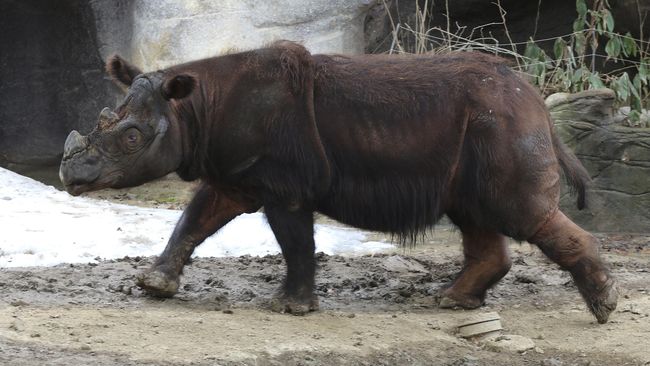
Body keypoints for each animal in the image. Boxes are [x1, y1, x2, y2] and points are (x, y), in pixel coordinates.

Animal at [58, 40, 616, 324]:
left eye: (132, 138)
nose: (70, 176)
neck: (195, 106)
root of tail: (538, 100)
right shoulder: (236, 173)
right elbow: (194, 221)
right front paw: (153, 286)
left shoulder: (283, 183)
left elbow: (295, 241)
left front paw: (290, 308)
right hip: (487, 124)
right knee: (475, 213)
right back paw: (450, 301)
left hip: (501, 121)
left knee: (517, 211)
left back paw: (603, 307)